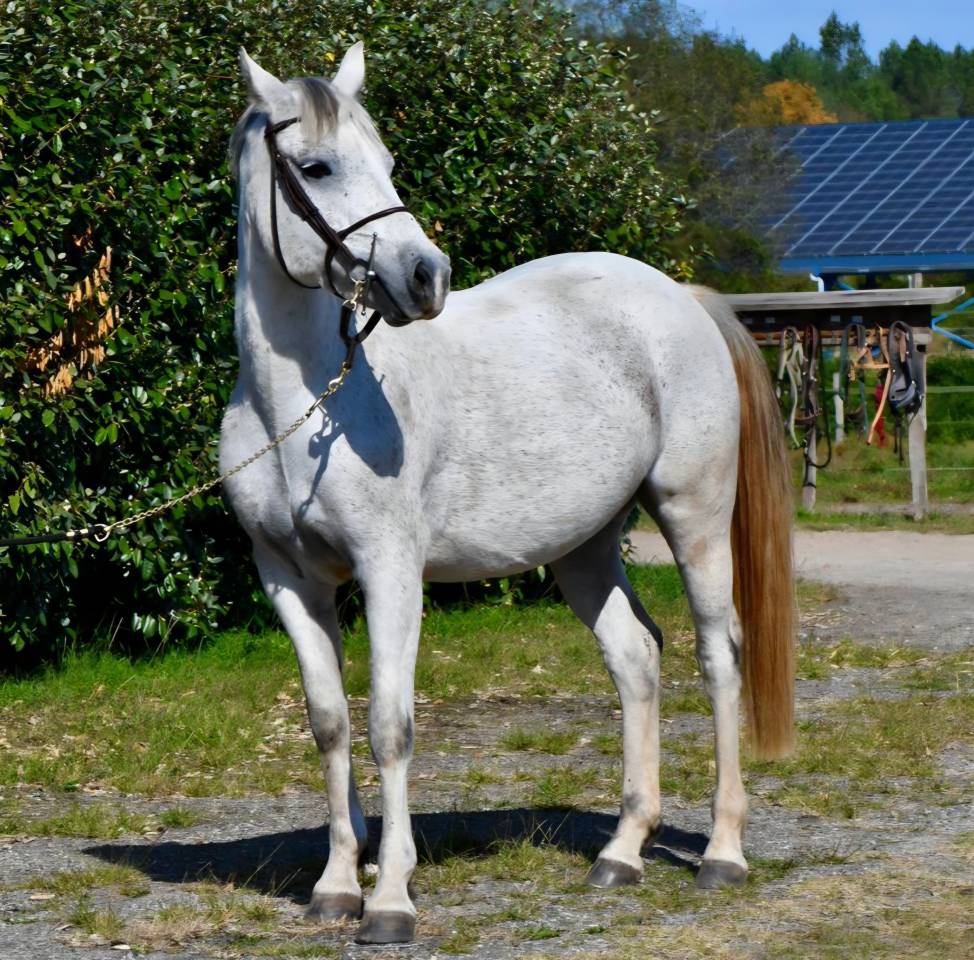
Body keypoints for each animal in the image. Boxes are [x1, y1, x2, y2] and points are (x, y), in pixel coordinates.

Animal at [221, 43, 795, 945]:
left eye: (387, 162)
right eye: (315, 166)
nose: (425, 276)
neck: (306, 406)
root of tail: (682, 299)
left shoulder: (390, 572)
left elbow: (391, 726)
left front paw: (391, 900)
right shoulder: (288, 578)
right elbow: (330, 722)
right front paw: (338, 885)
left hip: (695, 519)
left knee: (719, 655)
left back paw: (723, 854)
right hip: (585, 549)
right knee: (636, 657)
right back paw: (622, 853)